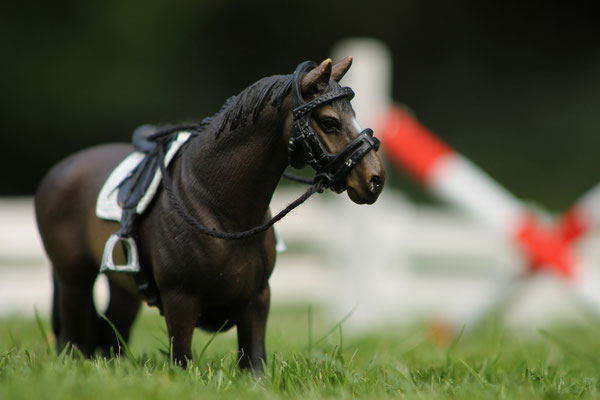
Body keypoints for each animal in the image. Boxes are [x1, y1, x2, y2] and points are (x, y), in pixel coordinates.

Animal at [35, 57, 386, 374]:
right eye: (329, 122)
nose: (375, 180)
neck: (216, 204)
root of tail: (57, 173)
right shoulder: (180, 302)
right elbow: (181, 363)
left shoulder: (257, 301)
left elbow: (254, 366)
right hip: (74, 281)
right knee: (74, 341)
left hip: (124, 291)